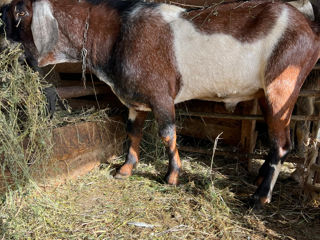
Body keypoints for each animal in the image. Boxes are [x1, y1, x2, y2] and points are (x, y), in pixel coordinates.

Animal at [1, 0, 320, 207]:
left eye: (17, 12)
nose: (7, 50)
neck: (118, 34)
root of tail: (309, 27)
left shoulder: (161, 96)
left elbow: (167, 133)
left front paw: (171, 176)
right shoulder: (135, 100)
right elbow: (132, 132)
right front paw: (125, 170)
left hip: (282, 88)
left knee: (282, 144)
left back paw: (260, 198)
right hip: (270, 94)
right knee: (276, 142)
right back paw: (259, 182)